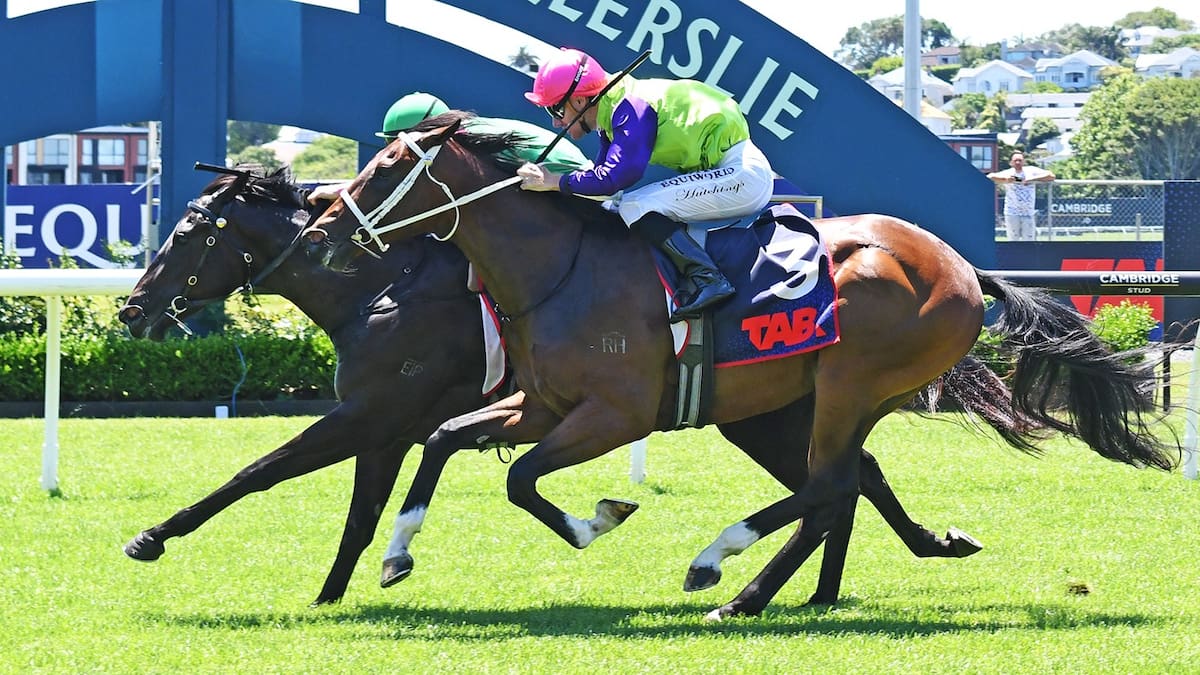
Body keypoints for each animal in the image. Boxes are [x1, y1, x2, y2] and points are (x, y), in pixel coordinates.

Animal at [118, 166, 992, 607]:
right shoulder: (396, 420)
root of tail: (957, 269)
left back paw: (734, 578)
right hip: (776, 406)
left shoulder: (374, 410)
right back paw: (847, 578)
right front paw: (341, 589)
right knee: (847, 479)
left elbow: (257, 471)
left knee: (834, 481)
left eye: (188, 231)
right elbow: (367, 511)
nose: (131, 307)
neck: (385, 282)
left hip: (815, 394)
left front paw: (152, 536)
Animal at [303, 111, 1180, 619]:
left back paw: (722, 570)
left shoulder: (614, 413)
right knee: (843, 484)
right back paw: (858, 566)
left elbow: (521, 480)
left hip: (852, 380)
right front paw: (396, 554)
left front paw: (599, 518)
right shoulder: (544, 406)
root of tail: (964, 267)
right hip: (809, 400)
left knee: (827, 486)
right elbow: (444, 436)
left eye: (386, 169)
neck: (562, 265)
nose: (319, 228)